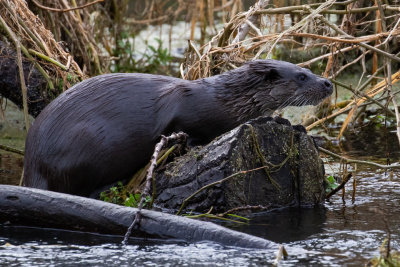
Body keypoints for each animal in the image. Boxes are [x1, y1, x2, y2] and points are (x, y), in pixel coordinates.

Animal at [23, 60, 332, 197]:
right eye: (302, 76)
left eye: (309, 70)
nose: (328, 82)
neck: (221, 101)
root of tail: (33, 162)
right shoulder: (182, 111)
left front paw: (288, 124)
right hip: (88, 143)